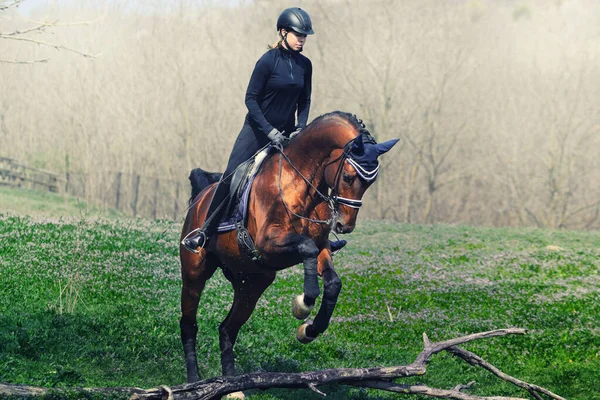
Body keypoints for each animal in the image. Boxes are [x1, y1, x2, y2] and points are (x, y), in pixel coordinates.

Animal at [179, 111, 398, 394]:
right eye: (349, 177)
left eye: (370, 183)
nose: (344, 226)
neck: (298, 183)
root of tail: (201, 198)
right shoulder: (266, 243)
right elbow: (306, 249)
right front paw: (303, 305)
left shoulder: (320, 246)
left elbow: (332, 281)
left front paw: (309, 329)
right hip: (195, 272)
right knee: (189, 324)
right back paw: (193, 381)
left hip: (252, 282)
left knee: (228, 328)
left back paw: (232, 385)